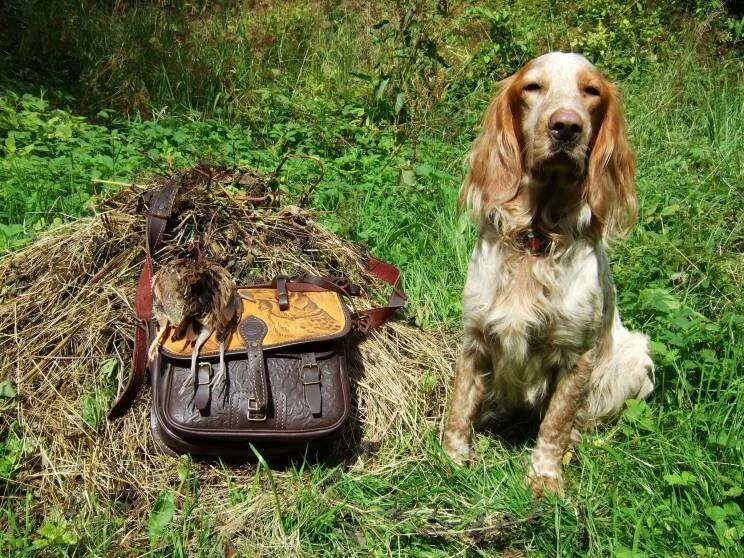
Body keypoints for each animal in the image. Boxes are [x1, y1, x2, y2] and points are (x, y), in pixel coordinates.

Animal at [444, 52, 652, 496]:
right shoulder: (475, 337)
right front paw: (451, 459)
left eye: (591, 91)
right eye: (533, 87)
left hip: (637, 359)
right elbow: (459, 407)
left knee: (582, 420)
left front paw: (544, 476)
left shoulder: (577, 355)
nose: (567, 126)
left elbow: (556, 422)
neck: (536, 235)